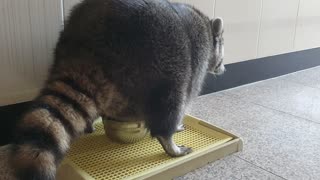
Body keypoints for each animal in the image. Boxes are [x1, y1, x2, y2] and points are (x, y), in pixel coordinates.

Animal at [10, 0, 225, 179]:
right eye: (222, 52)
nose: (223, 69)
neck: (206, 26)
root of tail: (90, 41)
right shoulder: (198, 57)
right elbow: (188, 95)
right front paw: (178, 125)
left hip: (65, 47)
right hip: (164, 59)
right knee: (171, 101)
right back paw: (168, 140)